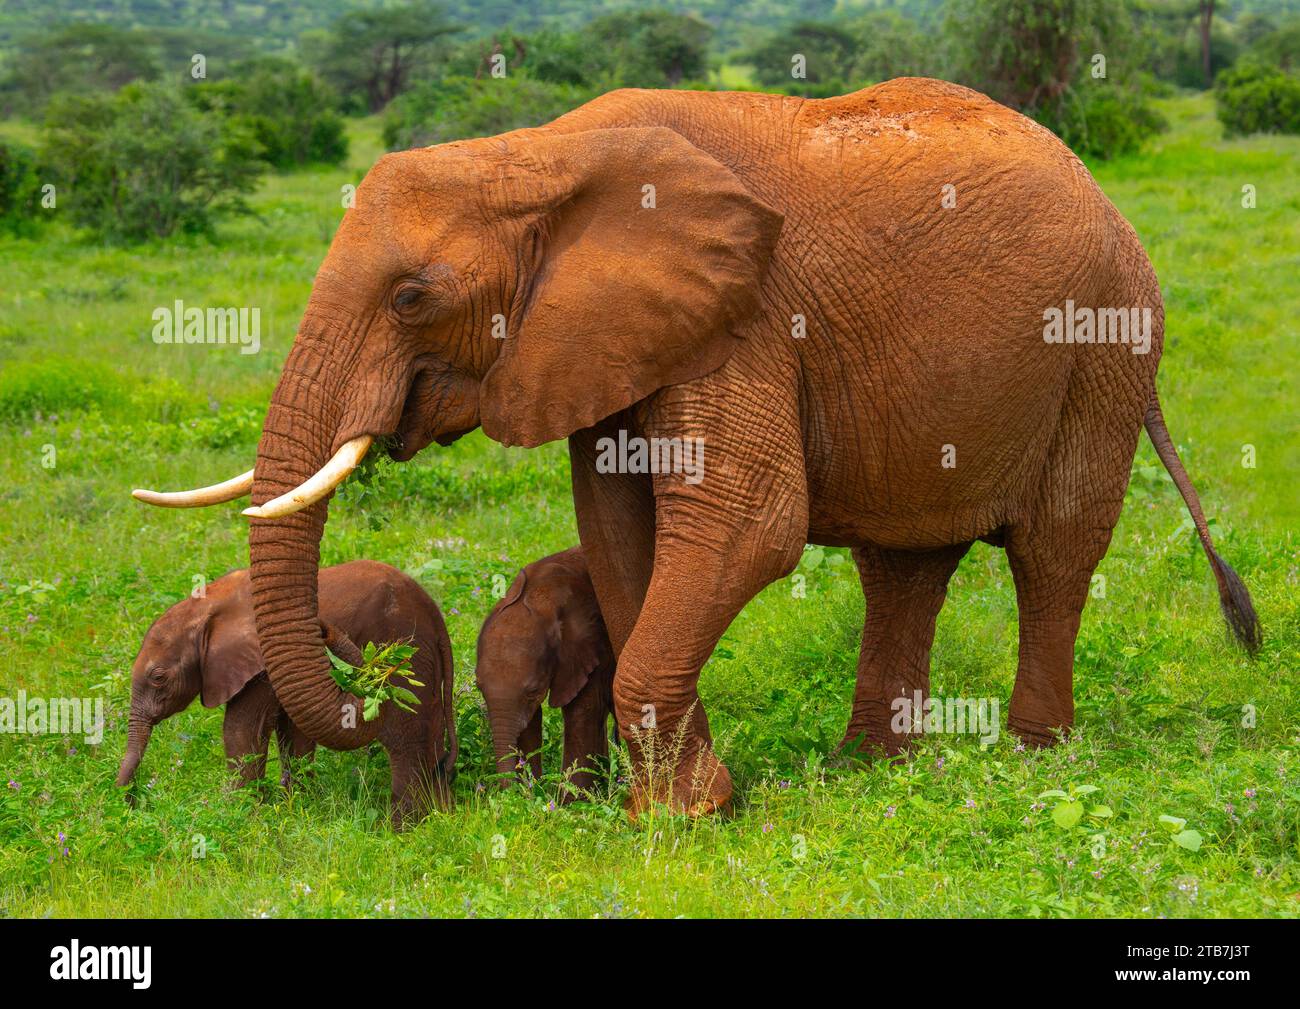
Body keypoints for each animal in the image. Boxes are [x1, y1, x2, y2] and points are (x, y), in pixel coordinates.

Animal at [116, 559, 460, 826]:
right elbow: (293, 729)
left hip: (405, 649)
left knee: (405, 737)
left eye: (158, 678)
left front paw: (238, 813)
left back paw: (403, 828)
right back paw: (440, 817)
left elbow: (241, 727)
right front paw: (293, 808)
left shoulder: (262, 663)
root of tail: (434, 614)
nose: (132, 803)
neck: (206, 606)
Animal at [478, 543, 618, 795]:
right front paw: (533, 793)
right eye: (478, 687)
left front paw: (571, 801)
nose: (508, 793)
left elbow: (583, 709)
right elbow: (530, 721)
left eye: (533, 691)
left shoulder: (593, 643)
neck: (538, 595)